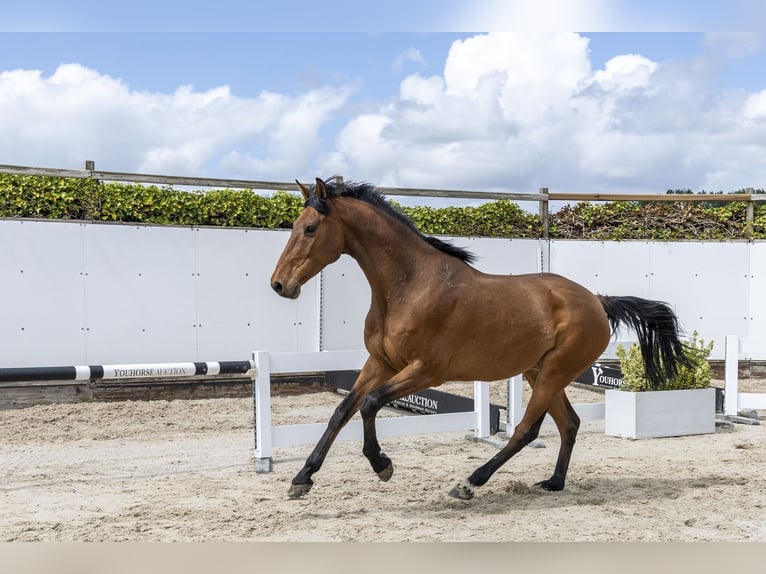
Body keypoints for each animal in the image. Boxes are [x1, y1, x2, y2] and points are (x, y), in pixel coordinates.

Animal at [270, 177, 689, 500]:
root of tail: (597, 301)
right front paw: (301, 479)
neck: (409, 286)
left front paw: (382, 465)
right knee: (569, 423)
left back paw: (470, 483)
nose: (279, 285)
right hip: (540, 372)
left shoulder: (427, 371)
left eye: (310, 228)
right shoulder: (381, 362)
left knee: (526, 430)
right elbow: (342, 411)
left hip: (554, 372)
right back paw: (554, 482)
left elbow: (371, 404)